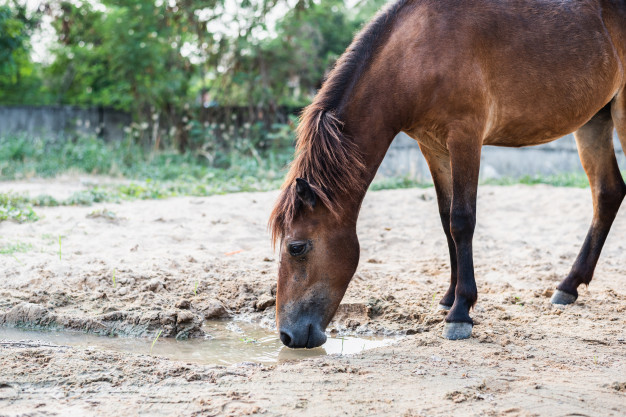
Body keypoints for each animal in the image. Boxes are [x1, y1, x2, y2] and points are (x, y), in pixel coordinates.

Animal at [266, 0, 624, 344]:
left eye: (297, 247)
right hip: (593, 120)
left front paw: (461, 312)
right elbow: (445, 218)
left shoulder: (465, 137)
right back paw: (568, 285)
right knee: (607, 192)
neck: (417, 54)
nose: (287, 335)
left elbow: (462, 220)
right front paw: (450, 297)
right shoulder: (433, 147)